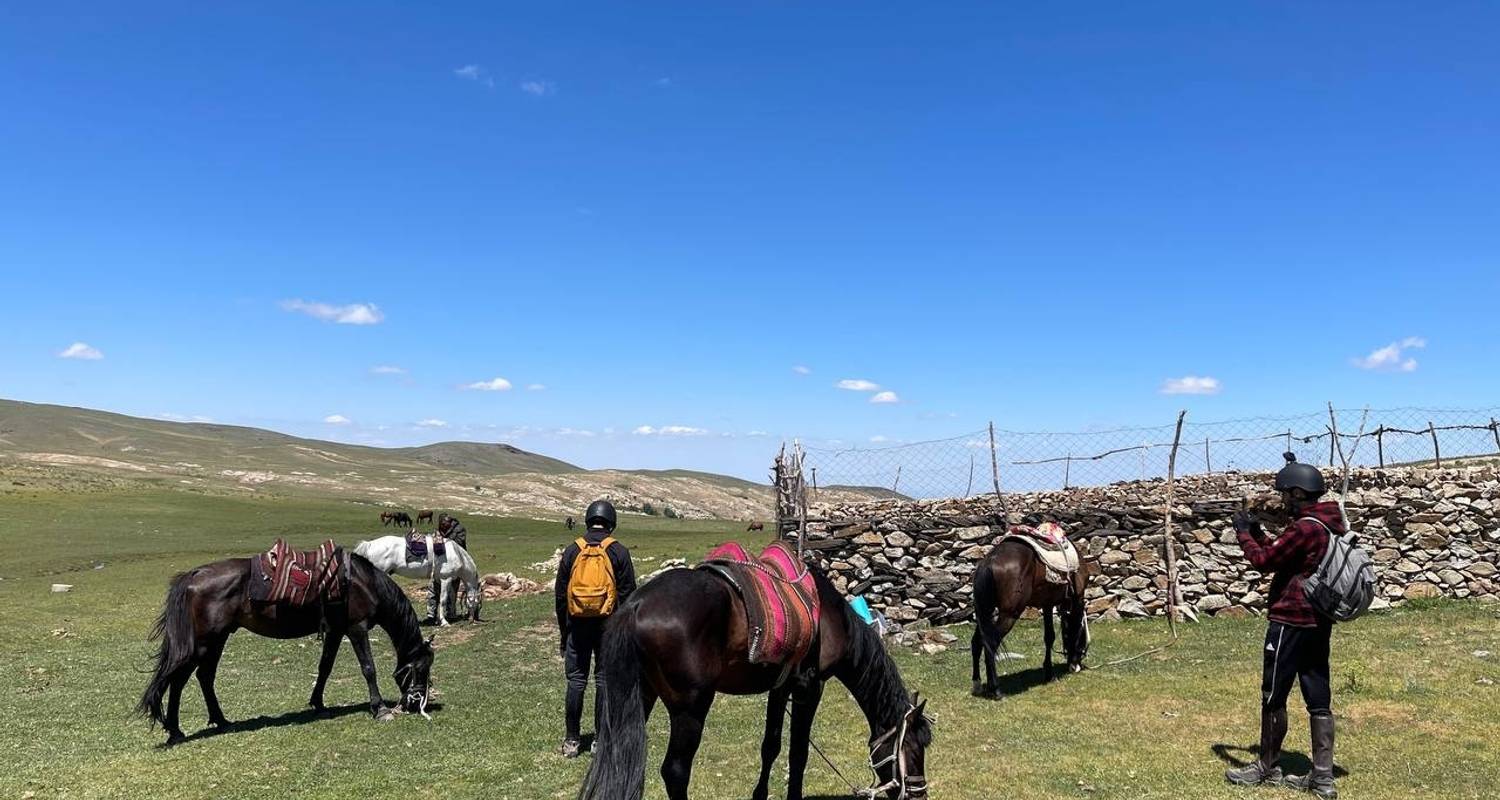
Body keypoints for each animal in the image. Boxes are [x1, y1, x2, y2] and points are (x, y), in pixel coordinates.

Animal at [136, 549, 435, 741]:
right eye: (422, 669)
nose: (416, 703)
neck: (363, 581)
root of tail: (194, 574)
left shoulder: (335, 631)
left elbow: (325, 667)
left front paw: (318, 704)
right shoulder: (356, 628)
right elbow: (368, 668)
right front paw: (380, 709)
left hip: (218, 639)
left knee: (204, 677)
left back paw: (221, 721)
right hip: (203, 642)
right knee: (179, 680)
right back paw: (176, 731)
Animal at [354, 534, 483, 627]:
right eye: (479, 601)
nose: (474, 619)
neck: (457, 553)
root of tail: (370, 544)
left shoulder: (438, 579)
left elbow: (440, 598)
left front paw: (440, 619)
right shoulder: (445, 579)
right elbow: (443, 599)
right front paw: (444, 622)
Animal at [579, 564, 930, 792]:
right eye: (914, 750)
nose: (919, 792)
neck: (832, 619)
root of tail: (635, 605)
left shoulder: (781, 688)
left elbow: (770, 747)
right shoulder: (810, 688)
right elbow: (798, 755)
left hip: (637, 695)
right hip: (690, 708)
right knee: (675, 771)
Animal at [966, 537, 1098, 699]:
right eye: (1083, 636)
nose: (1076, 664)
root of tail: (989, 562)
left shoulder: (1047, 604)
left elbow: (1049, 637)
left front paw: (1049, 674)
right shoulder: (1072, 599)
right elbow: (1058, 634)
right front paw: (1053, 672)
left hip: (985, 612)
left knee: (977, 642)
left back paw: (977, 685)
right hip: (1009, 614)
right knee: (991, 643)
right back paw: (996, 690)